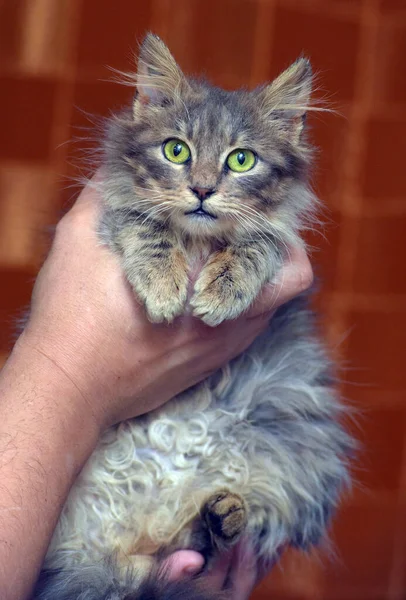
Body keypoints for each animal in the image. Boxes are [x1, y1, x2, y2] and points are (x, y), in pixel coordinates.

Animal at [33, 35, 354, 600]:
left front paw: (222, 292)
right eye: (176, 150)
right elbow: (147, 226)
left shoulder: (281, 241)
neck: (199, 242)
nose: (203, 190)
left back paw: (223, 516)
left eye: (241, 160)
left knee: (204, 543)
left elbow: (256, 242)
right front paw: (163, 288)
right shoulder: (111, 211)